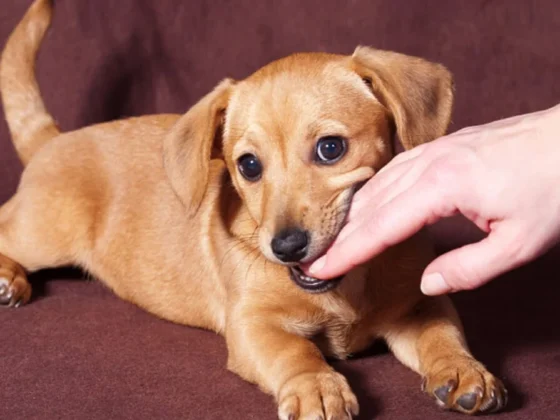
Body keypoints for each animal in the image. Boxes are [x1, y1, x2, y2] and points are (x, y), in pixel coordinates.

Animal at [1, 1, 508, 418]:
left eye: (330, 149)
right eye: (247, 165)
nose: (286, 247)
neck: (344, 288)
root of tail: (53, 139)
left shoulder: (417, 305)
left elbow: (441, 334)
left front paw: (462, 369)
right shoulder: (252, 324)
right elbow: (296, 353)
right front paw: (316, 387)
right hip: (44, 233)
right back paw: (10, 277)